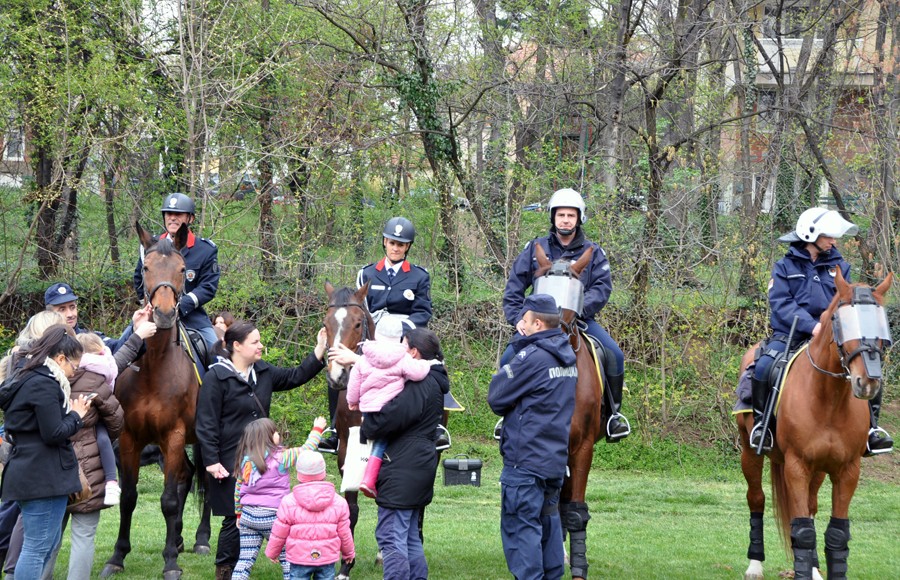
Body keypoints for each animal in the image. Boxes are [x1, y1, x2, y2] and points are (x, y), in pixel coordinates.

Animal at [101, 222, 210, 580]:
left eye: (182, 269)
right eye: (146, 268)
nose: (162, 315)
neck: (154, 367)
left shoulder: (173, 436)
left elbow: (169, 500)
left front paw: (170, 563)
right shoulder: (130, 438)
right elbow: (129, 497)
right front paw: (117, 556)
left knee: (205, 480)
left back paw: (200, 540)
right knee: (187, 476)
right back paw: (178, 538)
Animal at [736, 270, 892, 580]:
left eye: (882, 322)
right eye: (840, 321)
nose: (868, 382)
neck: (829, 401)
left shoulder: (847, 470)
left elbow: (836, 533)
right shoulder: (796, 466)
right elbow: (803, 532)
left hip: (818, 470)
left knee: (809, 506)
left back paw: (815, 569)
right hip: (750, 452)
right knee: (756, 499)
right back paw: (755, 564)